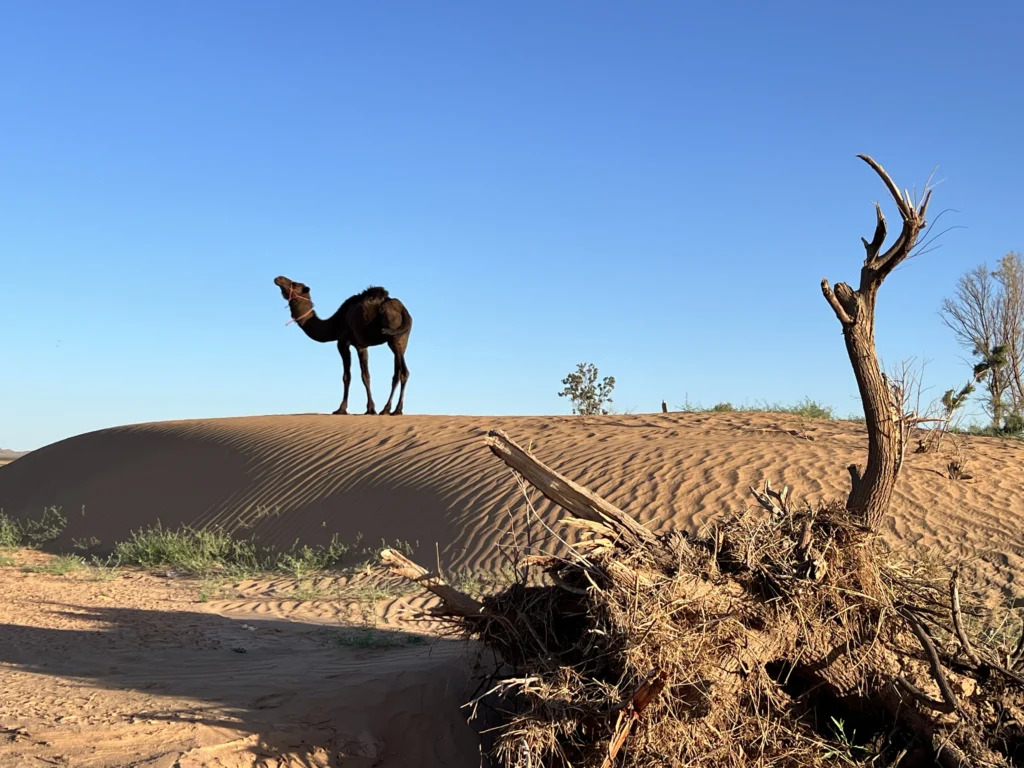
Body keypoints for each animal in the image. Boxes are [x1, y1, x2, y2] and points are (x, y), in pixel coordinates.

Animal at [276, 276, 415, 417]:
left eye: (294, 284)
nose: (278, 278)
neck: (335, 324)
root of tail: (402, 309)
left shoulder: (344, 343)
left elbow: (348, 376)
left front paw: (342, 409)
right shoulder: (362, 345)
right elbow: (366, 375)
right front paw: (370, 409)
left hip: (393, 335)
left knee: (404, 372)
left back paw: (396, 410)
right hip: (402, 339)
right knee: (398, 372)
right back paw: (387, 409)